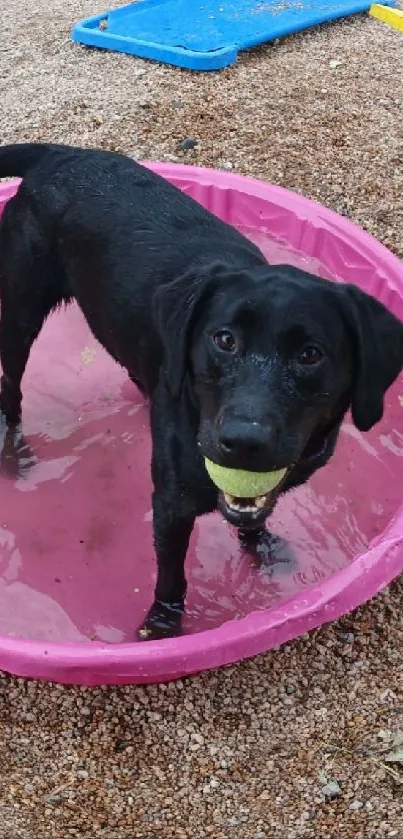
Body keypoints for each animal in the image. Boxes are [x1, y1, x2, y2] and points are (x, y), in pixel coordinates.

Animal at [0, 146, 403, 644]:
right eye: (223, 339)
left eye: (310, 354)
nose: (244, 441)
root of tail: (60, 154)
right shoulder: (171, 504)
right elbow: (172, 576)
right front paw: (162, 624)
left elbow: (256, 515)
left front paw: (262, 548)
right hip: (20, 313)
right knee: (10, 391)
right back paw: (16, 454)